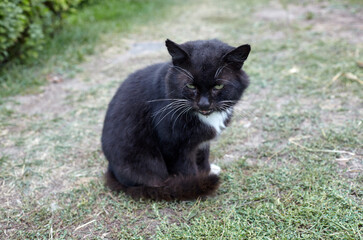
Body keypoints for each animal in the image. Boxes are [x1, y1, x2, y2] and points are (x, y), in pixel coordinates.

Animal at [101, 39, 252, 201]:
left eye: (218, 86)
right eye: (190, 85)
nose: (204, 104)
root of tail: (112, 169)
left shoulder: (201, 141)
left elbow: (203, 156)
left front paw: (207, 171)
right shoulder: (173, 145)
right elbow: (187, 169)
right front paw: (195, 186)